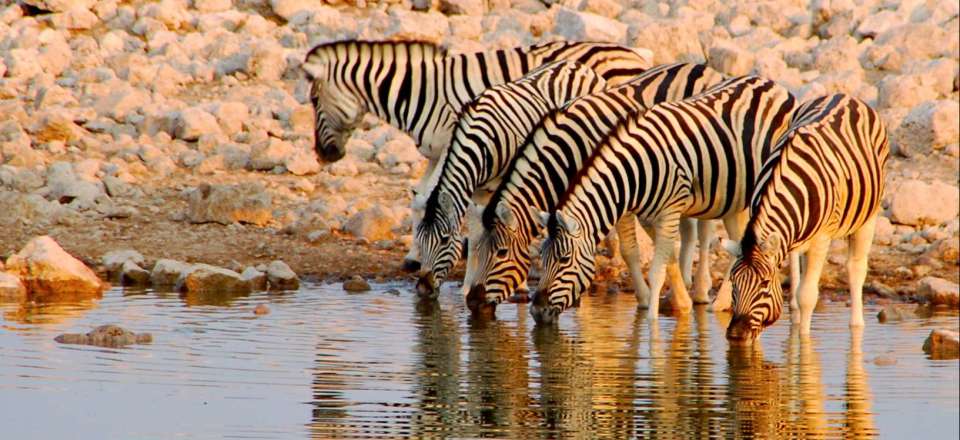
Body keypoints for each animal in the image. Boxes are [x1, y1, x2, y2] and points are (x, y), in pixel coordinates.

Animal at [300, 40, 652, 272]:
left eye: (314, 100)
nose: (323, 156)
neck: (421, 91)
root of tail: (632, 52)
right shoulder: (436, 151)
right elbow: (419, 196)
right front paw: (415, 255)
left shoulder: (448, 142)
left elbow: (431, 197)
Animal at [412, 60, 608, 300]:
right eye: (420, 239)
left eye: (444, 240)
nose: (423, 289)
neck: (480, 141)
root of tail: (577, 64)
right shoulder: (477, 191)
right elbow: (476, 237)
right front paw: (468, 286)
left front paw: (520, 285)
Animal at [462, 63, 724, 314]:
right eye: (476, 250)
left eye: (501, 253)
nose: (473, 302)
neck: (568, 151)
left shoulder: (620, 192)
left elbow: (630, 250)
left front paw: (648, 299)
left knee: (705, 228)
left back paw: (701, 291)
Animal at [532, 75, 796, 324]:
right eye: (542, 257)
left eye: (564, 260)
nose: (536, 311)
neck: (638, 169)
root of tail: (771, 83)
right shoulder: (649, 216)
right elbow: (669, 259)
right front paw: (680, 304)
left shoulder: (670, 209)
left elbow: (656, 272)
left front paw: (652, 324)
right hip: (734, 197)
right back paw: (719, 304)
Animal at [724, 93, 888, 344]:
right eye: (733, 283)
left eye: (764, 284)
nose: (736, 335)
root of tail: (844, 95)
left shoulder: (822, 238)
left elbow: (808, 296)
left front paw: (804, 342)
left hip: (868, 215)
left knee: (856, 269)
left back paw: (856, 324)